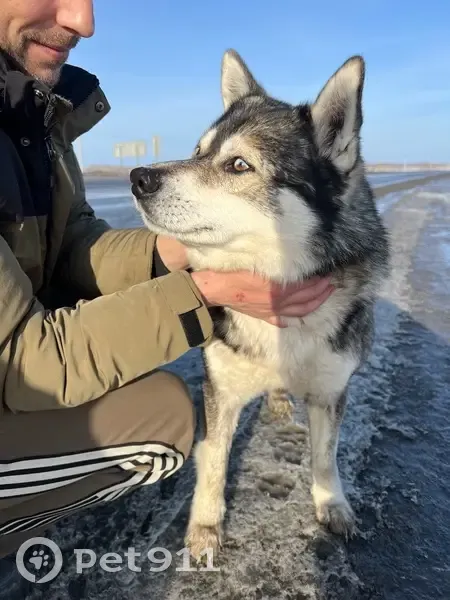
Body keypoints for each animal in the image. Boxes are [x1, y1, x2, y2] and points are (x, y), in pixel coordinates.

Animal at [130, 49, 390, 561]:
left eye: (238, 165)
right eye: (197, 152)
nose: (138, 177)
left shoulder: (331, 391)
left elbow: (324, 457)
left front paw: (331, 504)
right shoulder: (220, 391)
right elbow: (214, 462)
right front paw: (206, 526)